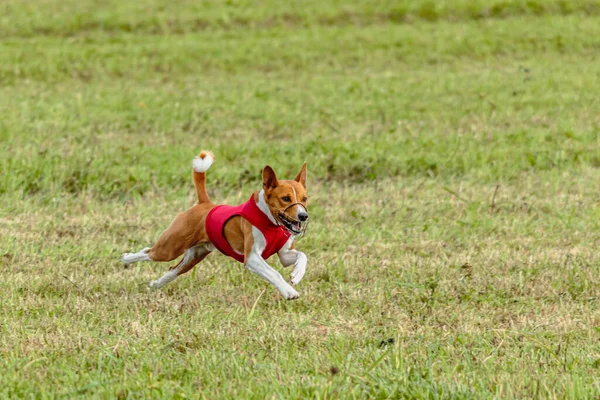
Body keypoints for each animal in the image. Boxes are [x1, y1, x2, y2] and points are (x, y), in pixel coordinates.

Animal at [121, 151, 310, 300]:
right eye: (285, 198)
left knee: (172, 270)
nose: (303, 216)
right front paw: (289, 291)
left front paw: (297, 274)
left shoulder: (284, 254)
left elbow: (303, 256)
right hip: (171, 248)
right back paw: (126, 258)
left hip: (194, 256)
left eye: (304, 198)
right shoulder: (252, 257)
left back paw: (154, 285)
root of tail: (204, 203)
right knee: (148, 252)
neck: (270, 221)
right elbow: (274, 272)